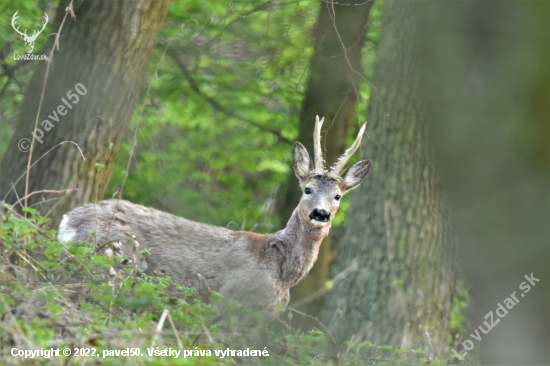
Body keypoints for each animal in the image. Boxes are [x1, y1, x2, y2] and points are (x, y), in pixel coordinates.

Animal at [58, 117, 374, 314]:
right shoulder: (231, 296)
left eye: (338, 196)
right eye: (308, 189)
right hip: (115, 256)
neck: (283, 272)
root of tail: (67, 222)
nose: (321, 213)